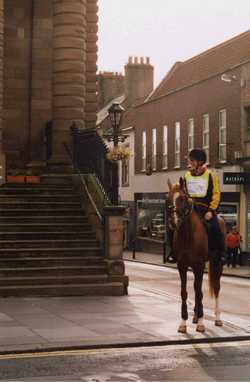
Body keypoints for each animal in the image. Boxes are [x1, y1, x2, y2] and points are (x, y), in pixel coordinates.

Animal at [168, 178, 225, 332]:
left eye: (182, 198)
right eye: (167, 197)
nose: (174, 221)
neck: (188, 235)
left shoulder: (199, 265)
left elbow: (199, 293)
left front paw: (201, 323)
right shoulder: (182, 265)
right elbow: (185, 292)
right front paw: (183, 323)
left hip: (217, 263)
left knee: (216, 288)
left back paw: (217, 318)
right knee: (195, 287)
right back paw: (195, 316)